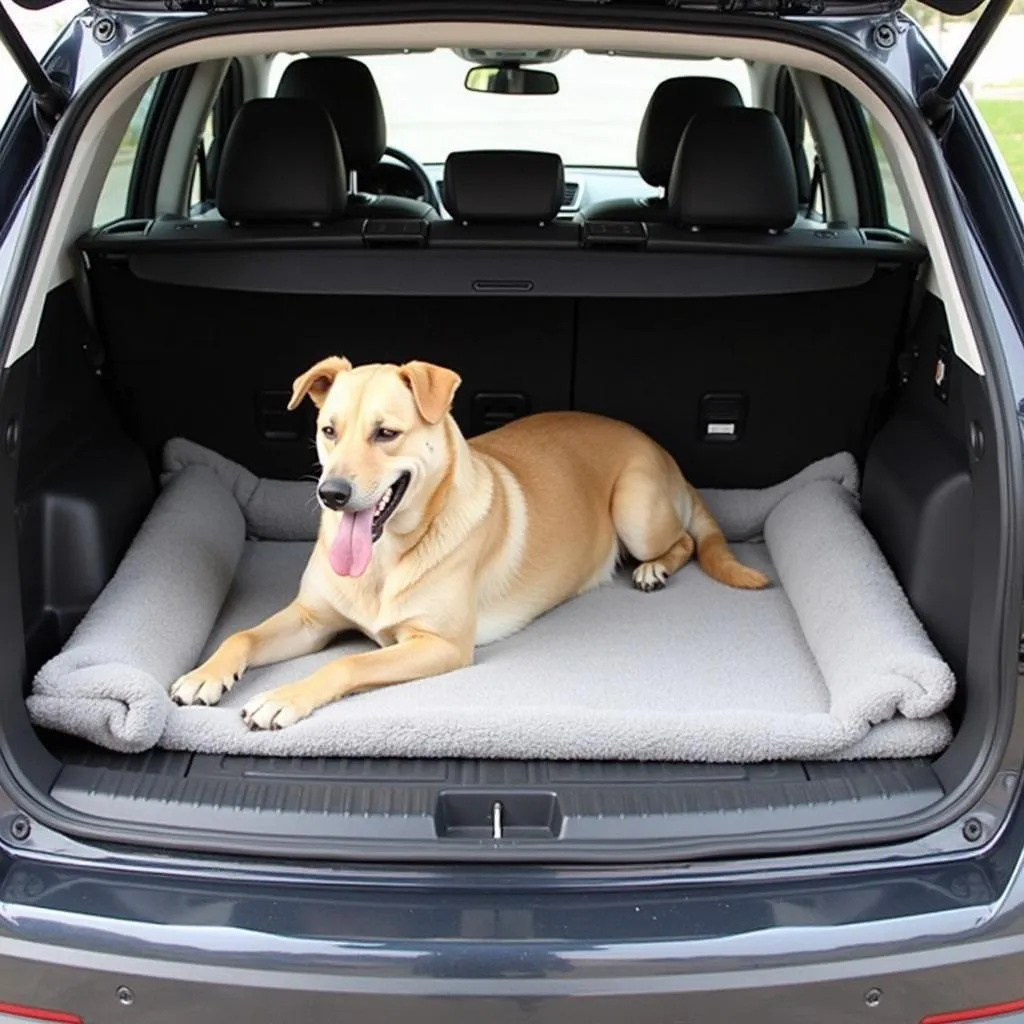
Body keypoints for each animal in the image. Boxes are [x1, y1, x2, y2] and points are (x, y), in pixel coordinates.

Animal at [174, 360, 770, 729]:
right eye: (328, 430)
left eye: (385, 434)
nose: (332, 494)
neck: (385, 558)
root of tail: (662, 452)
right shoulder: (310, 619)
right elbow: (242, 636)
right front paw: (206, 675)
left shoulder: (439, 645)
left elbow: (347, 665)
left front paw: (282, 697)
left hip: (636, 509)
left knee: (685, 541)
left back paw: (653, 569)